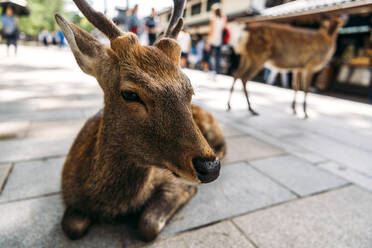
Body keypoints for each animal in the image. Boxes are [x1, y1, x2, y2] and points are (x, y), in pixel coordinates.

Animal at [54, 0, 225, 241]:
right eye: (129, 94)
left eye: (189, 90)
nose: (210, 167)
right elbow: (72, 226)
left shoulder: (171, 181)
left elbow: (148, 225)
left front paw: (189, 192)